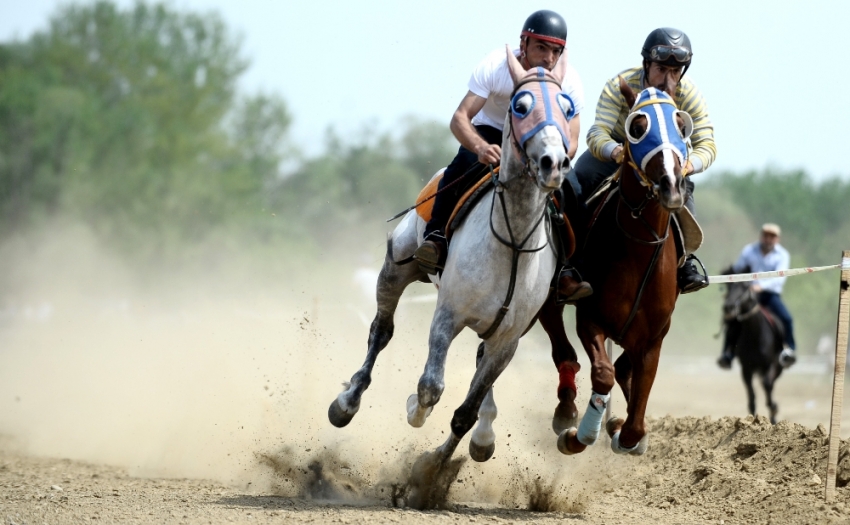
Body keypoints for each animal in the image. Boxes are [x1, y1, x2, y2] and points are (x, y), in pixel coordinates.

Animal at [540, 78, 692, 454]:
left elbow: (636, 415)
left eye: (681, 124)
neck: (639, 249)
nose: (671, 184)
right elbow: (603, 373)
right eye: (637, 127)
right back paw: (566, 410)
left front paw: (624, 432)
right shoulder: (591, 318)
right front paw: (579, 435)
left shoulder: (654, 338)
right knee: (562, 349)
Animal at [720, 264, 780, 424]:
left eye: (745, 286)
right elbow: (752, 396)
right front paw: (751, 420)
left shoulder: (768, 365)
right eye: (729, 285)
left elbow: (767, 385)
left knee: (770, 384)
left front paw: (773, 410)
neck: (755, 336)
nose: (728, 307)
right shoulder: (746, 368)